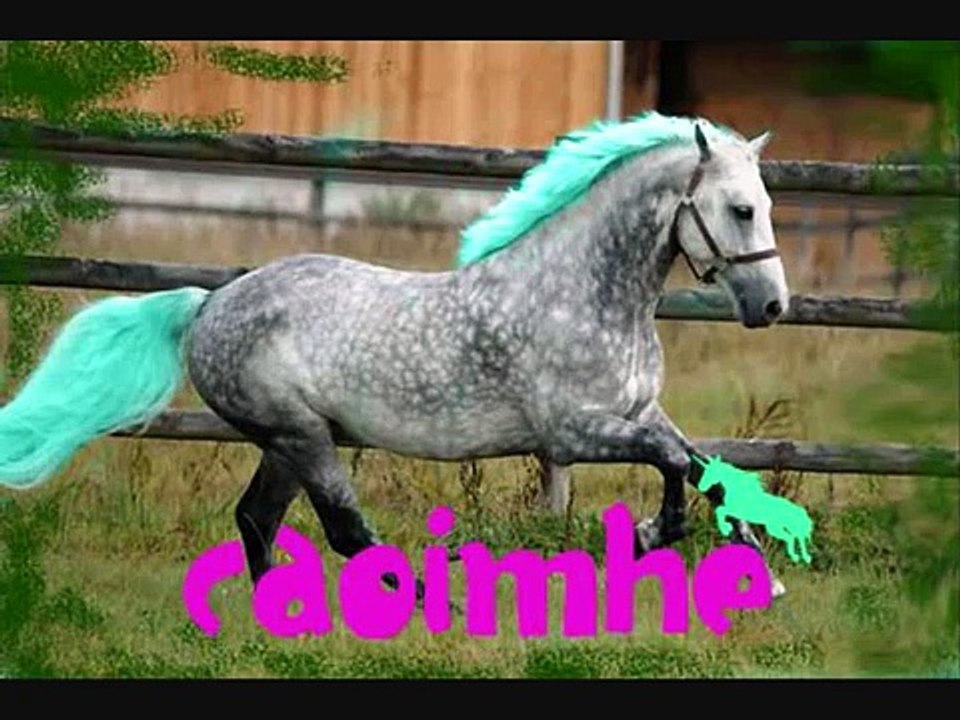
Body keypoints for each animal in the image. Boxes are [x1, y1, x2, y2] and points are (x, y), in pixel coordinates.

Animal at [0, 112, 791, 598]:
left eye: (766, 206)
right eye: (740, 210)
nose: (774, 308)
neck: (583, 293)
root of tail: (209, 303)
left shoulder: (639, 410)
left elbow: (705, 466)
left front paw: (760, 566)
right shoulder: (572, 433)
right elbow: (670, 458)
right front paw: (659, 533)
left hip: (286, 442)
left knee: (256, 520)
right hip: (301, 435)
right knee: (342, 530)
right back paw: (427, 601)